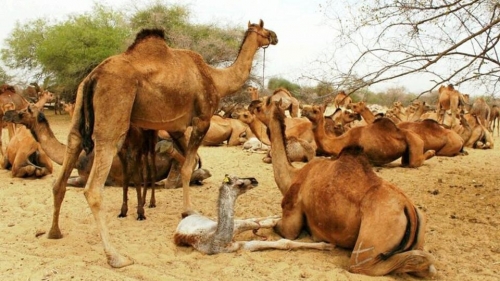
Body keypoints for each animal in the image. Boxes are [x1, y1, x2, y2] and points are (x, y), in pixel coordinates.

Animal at [47, 20, 278, 266]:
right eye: (264, 29)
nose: (275, 36)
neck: (215, 78)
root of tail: (93, 76)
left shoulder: (176, 127)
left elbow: (190, 162)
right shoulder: (202, 120)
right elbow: (187, 166)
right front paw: (187, 210)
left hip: (79, 105)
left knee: (64, 165)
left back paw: (54, 232)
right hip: (113, 114)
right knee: (93, 188)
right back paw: (116, 257)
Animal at [174, 174, 334, 253]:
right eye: (239, 183)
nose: (254, 180)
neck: (218, 239)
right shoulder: (238, 247)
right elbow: (282, 243)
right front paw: (327, 245)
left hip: (220, 221)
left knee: (253, 220)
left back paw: (275, 217)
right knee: (253, 221)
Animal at [298, 104, 436, 167]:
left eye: (315, 110)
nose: (303, 110)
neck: (339, 142)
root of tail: (419, 137)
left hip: (415, 142)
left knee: (414, 162)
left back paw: (432, 151)